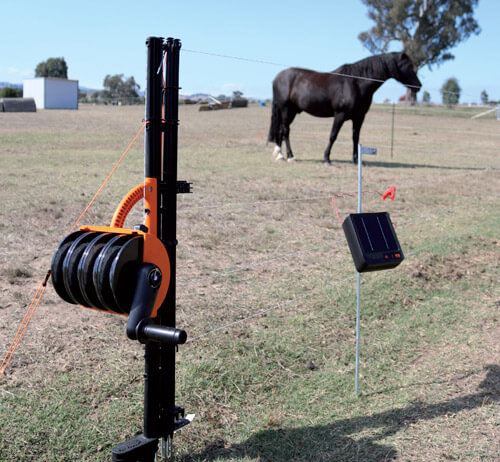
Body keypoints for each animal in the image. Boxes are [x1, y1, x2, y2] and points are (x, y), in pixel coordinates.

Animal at [268, 52, 420, 164]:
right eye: (407, 66)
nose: (418, 86)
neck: (356, 83)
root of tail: (277, 78)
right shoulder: (340, 115)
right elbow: (333, 136)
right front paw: (326, 159)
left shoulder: (359, 117)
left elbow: (355, 138)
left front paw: (356, 160)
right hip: (286, 109)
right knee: (286, 131)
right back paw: (290, 156)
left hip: (291, 111)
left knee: (281, 130)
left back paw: (280, 155)